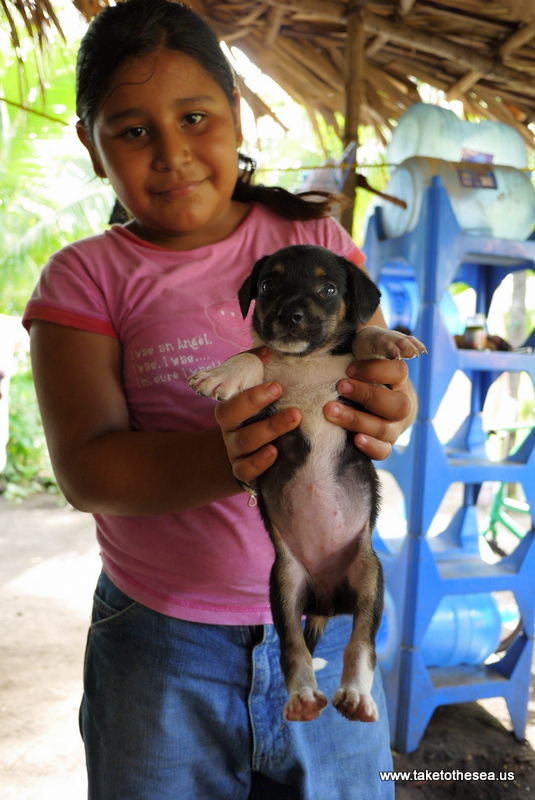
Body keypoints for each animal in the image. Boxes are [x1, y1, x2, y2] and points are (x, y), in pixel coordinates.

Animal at [191, 245, 426, 724]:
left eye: (329, 288)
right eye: (267, 285)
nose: (290, 315)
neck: (306, 359)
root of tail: (324, 601)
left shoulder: (359, 378)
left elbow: (362, 335)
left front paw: (391, 339)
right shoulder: (259, 399)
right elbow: (253, 355)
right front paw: (223, 373)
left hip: (370, 577)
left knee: (361, 646)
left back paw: (355, 697)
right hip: (284, 584)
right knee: (293, 649)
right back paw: (302, 699)